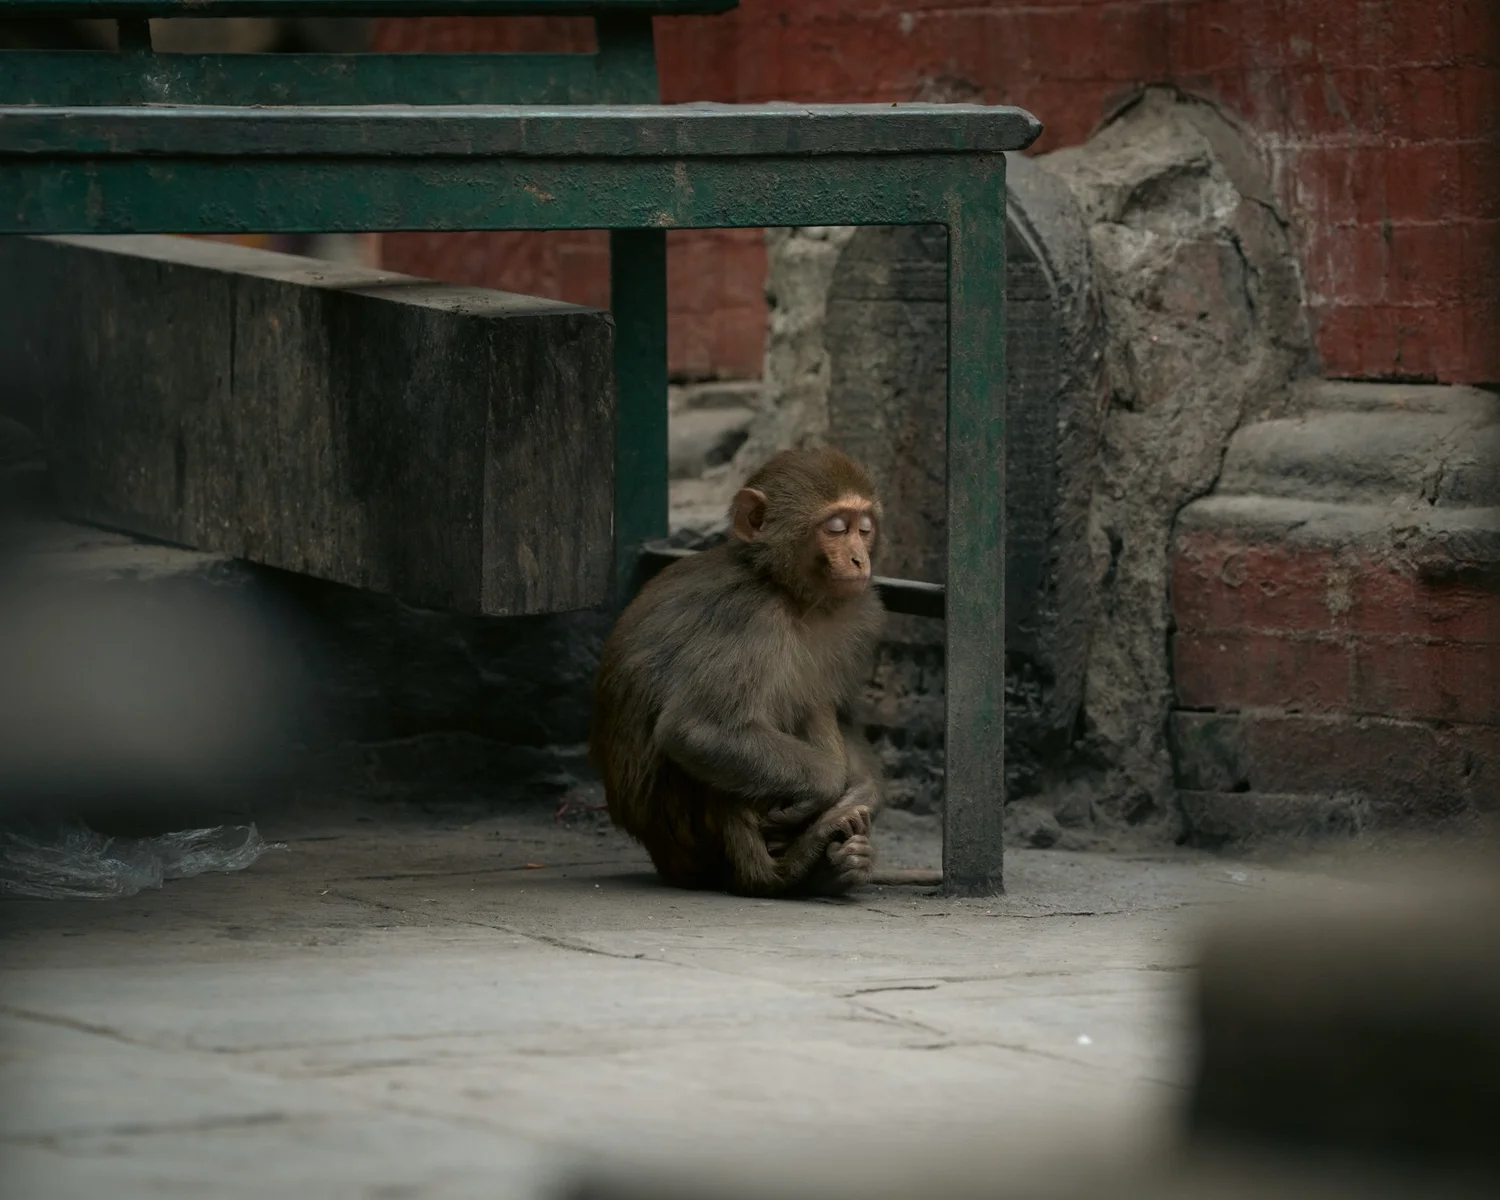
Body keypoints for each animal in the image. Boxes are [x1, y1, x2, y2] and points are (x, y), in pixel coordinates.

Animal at [591, 447, 904, 898]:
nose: (859, 559)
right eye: (837, 528)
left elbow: (845, 716)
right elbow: (697, 728)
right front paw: (828, 786)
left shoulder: (863, 614)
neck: (787, 592)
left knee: (815, 700)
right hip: (687, 833)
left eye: (864, 529)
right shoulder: (748, 617)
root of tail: (661, 858)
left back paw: (835, 866)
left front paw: (863, 794)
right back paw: (781, 872)